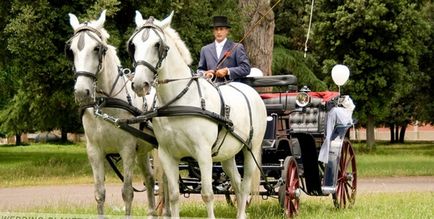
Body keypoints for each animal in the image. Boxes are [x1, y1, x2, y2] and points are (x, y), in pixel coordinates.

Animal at [69, 10, 159, 216]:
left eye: (97, 48)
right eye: (71, 50)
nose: (81, 92)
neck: (104, 104)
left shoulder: (126, 149)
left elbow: (127, 192)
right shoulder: (94, 151)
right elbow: (99, 193)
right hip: (143, 151)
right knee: (150, 180)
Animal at [127, 12, 266, 219]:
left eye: (157, 45)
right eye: (133, 45)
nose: (139, 84)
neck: (180, 99)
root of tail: (252, 92)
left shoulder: (203, 154)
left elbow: (207, 194)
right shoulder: (167, 154)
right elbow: (174, 195)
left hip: (251, 150)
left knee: (246, 183)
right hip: (227, 154)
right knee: (237, 183)